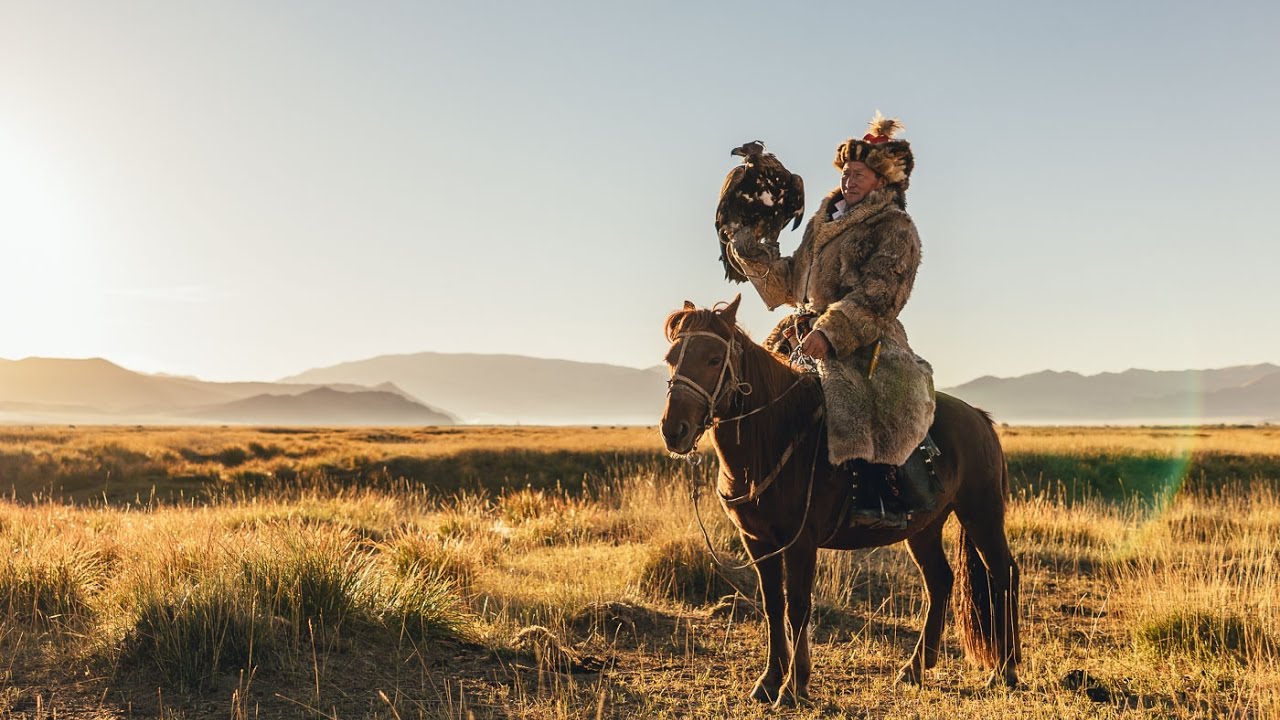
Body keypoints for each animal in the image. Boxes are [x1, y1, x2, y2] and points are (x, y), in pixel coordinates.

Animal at [660, 295, 1018, 702]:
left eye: (714, 359)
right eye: (671, 357)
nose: (674, 431)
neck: (773, 437)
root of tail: (978, 417)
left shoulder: (800, 542)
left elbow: (798, 606)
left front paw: (794, 685)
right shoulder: (757, 541)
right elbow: (772, 605)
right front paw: (768, 681)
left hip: (981, 513)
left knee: (1003, 573)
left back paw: (1005, 671)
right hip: (924, 527)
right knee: (939, 580)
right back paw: (914, 668)